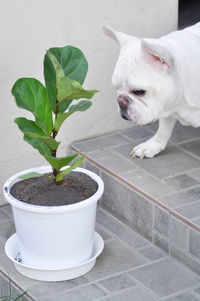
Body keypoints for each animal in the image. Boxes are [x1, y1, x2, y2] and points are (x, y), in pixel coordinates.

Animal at [102, 23, 200, 158]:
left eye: (139, 91)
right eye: (116, 87)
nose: (120, 100)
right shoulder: (167, 105)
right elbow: (164, 128)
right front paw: (153, 145)